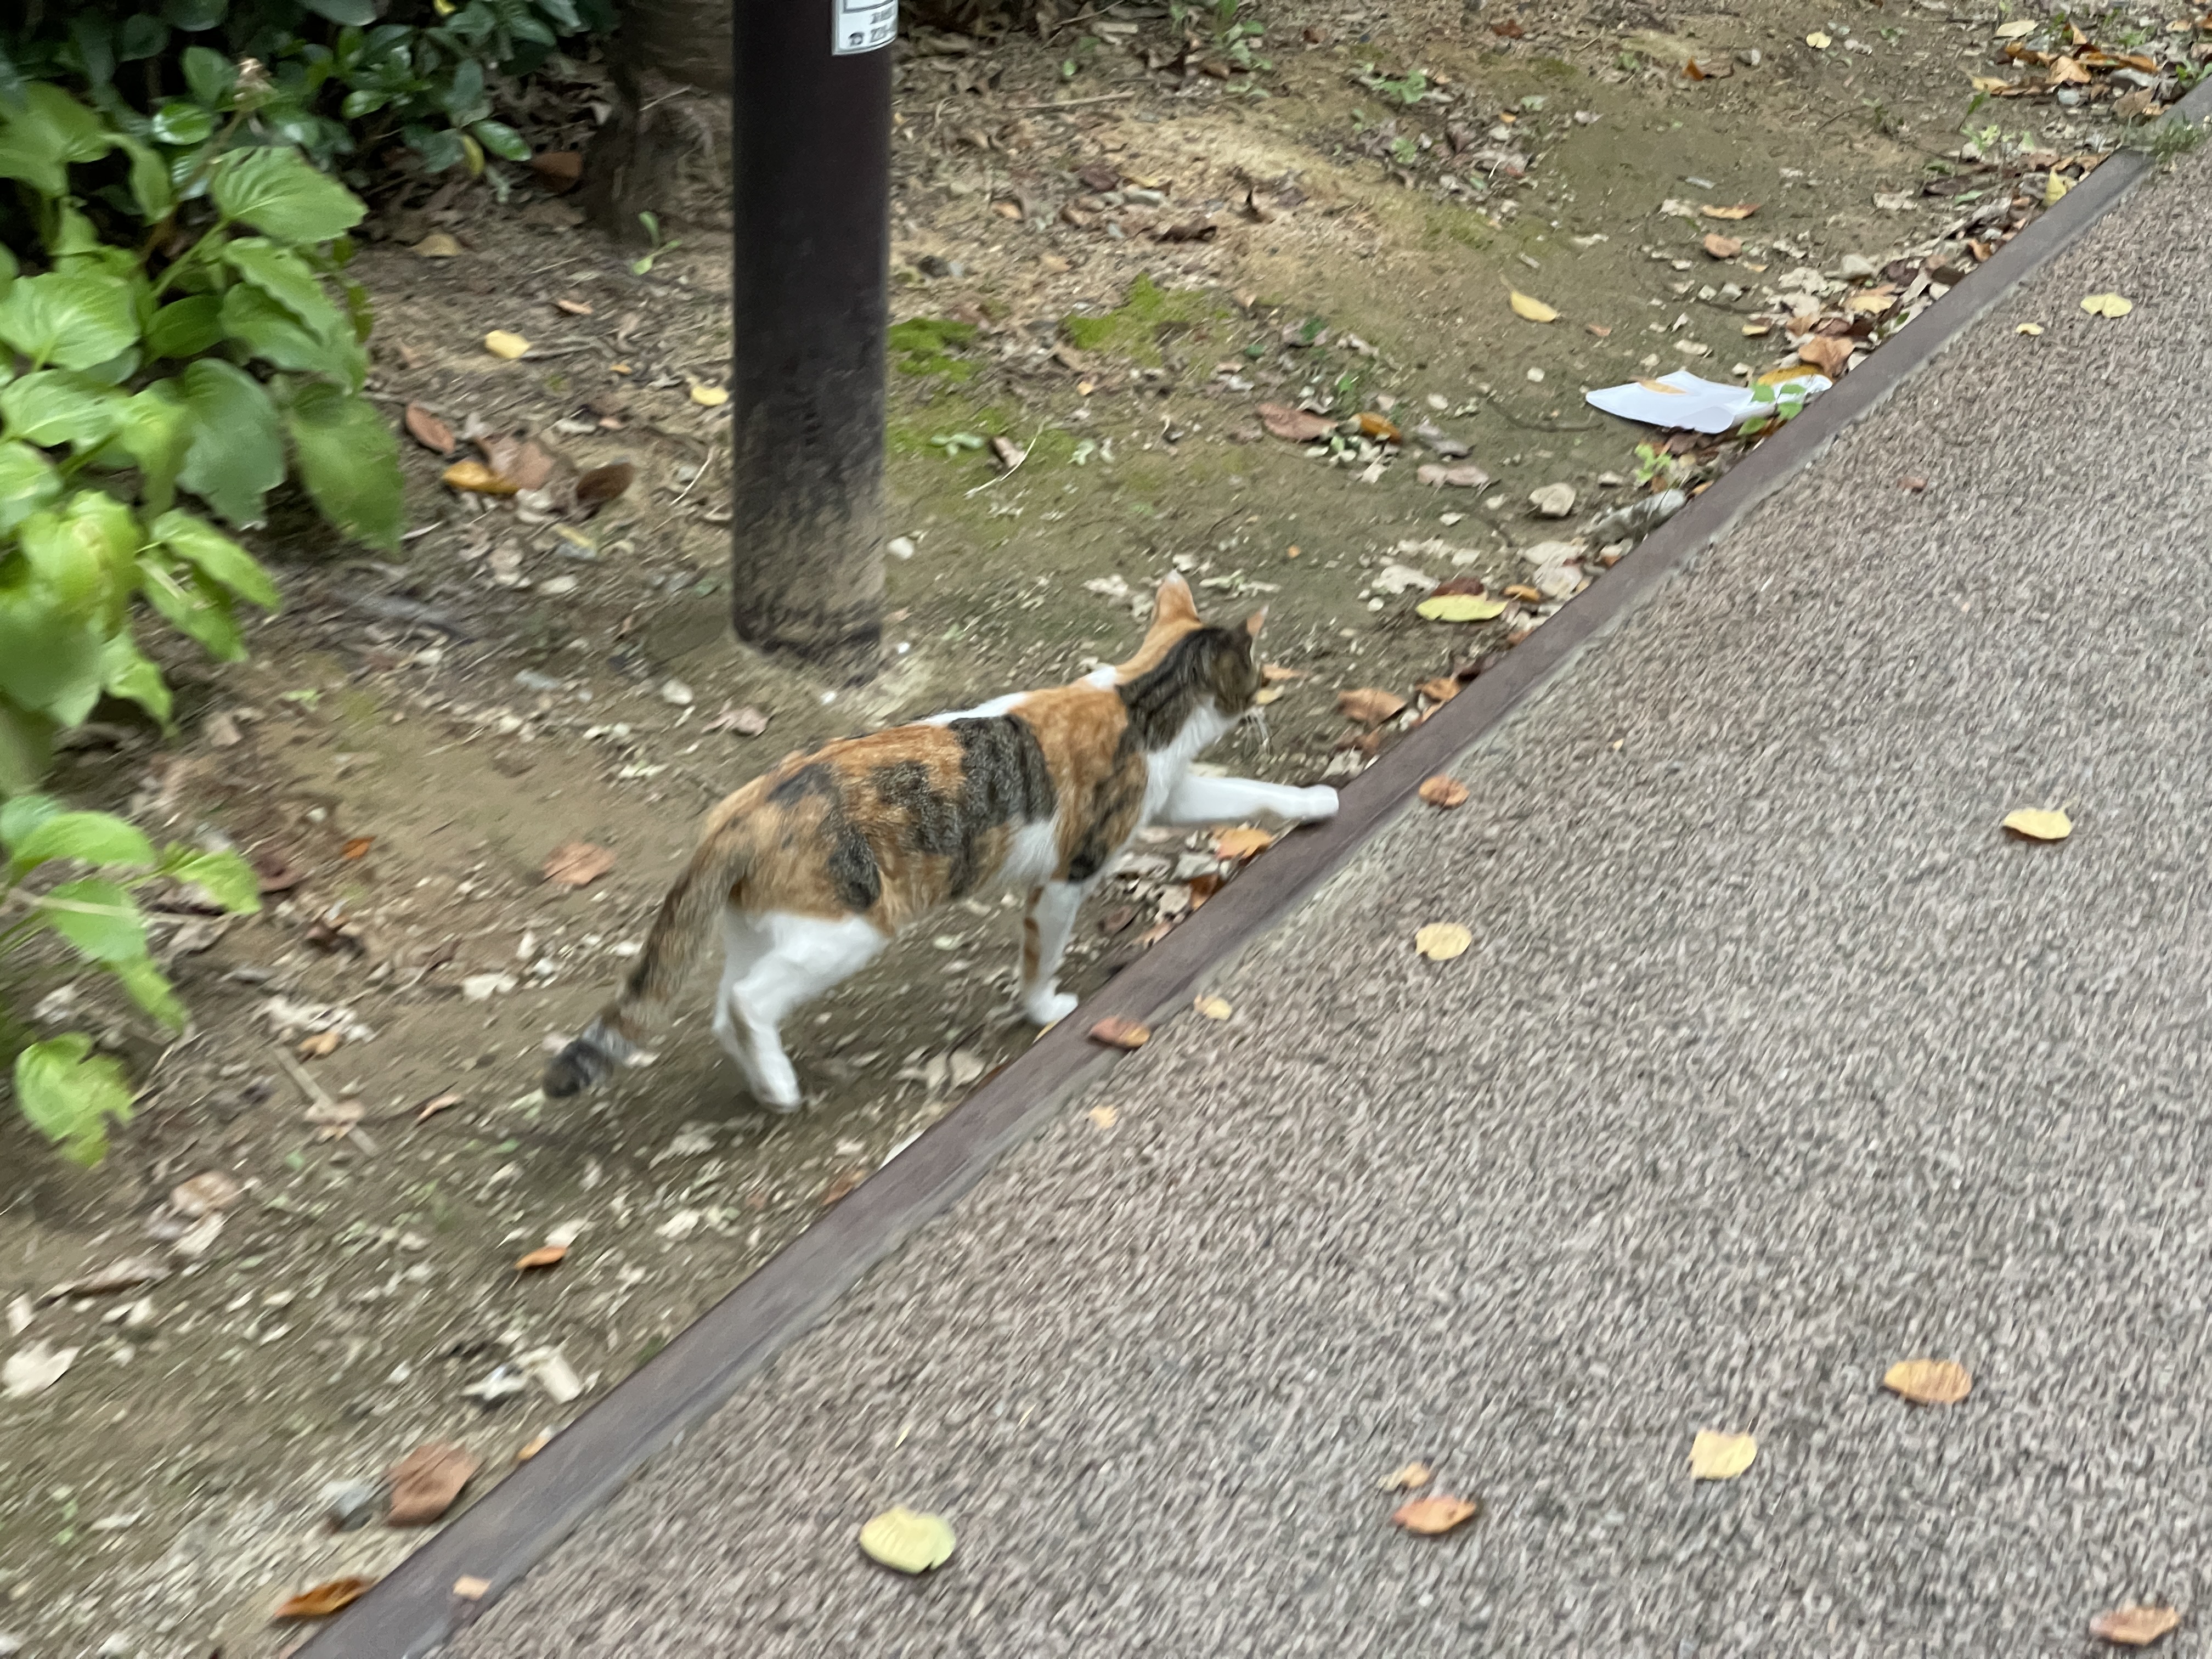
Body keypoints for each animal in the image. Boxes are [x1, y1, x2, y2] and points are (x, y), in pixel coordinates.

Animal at [542, 573, 1339, 1110]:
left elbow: (1252, 793)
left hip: (764, 928)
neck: (1140, 701)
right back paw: (782, 1084)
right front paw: (1043, 1010)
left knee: (722, 1005)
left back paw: (764, 1086)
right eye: (1258, 670)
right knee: (747, 1002)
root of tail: (740, 811)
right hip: (848, 931)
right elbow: (1042, 957)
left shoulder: (1172, 795)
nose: (1271, 688)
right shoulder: (1068, 876)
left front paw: (1317, 803)